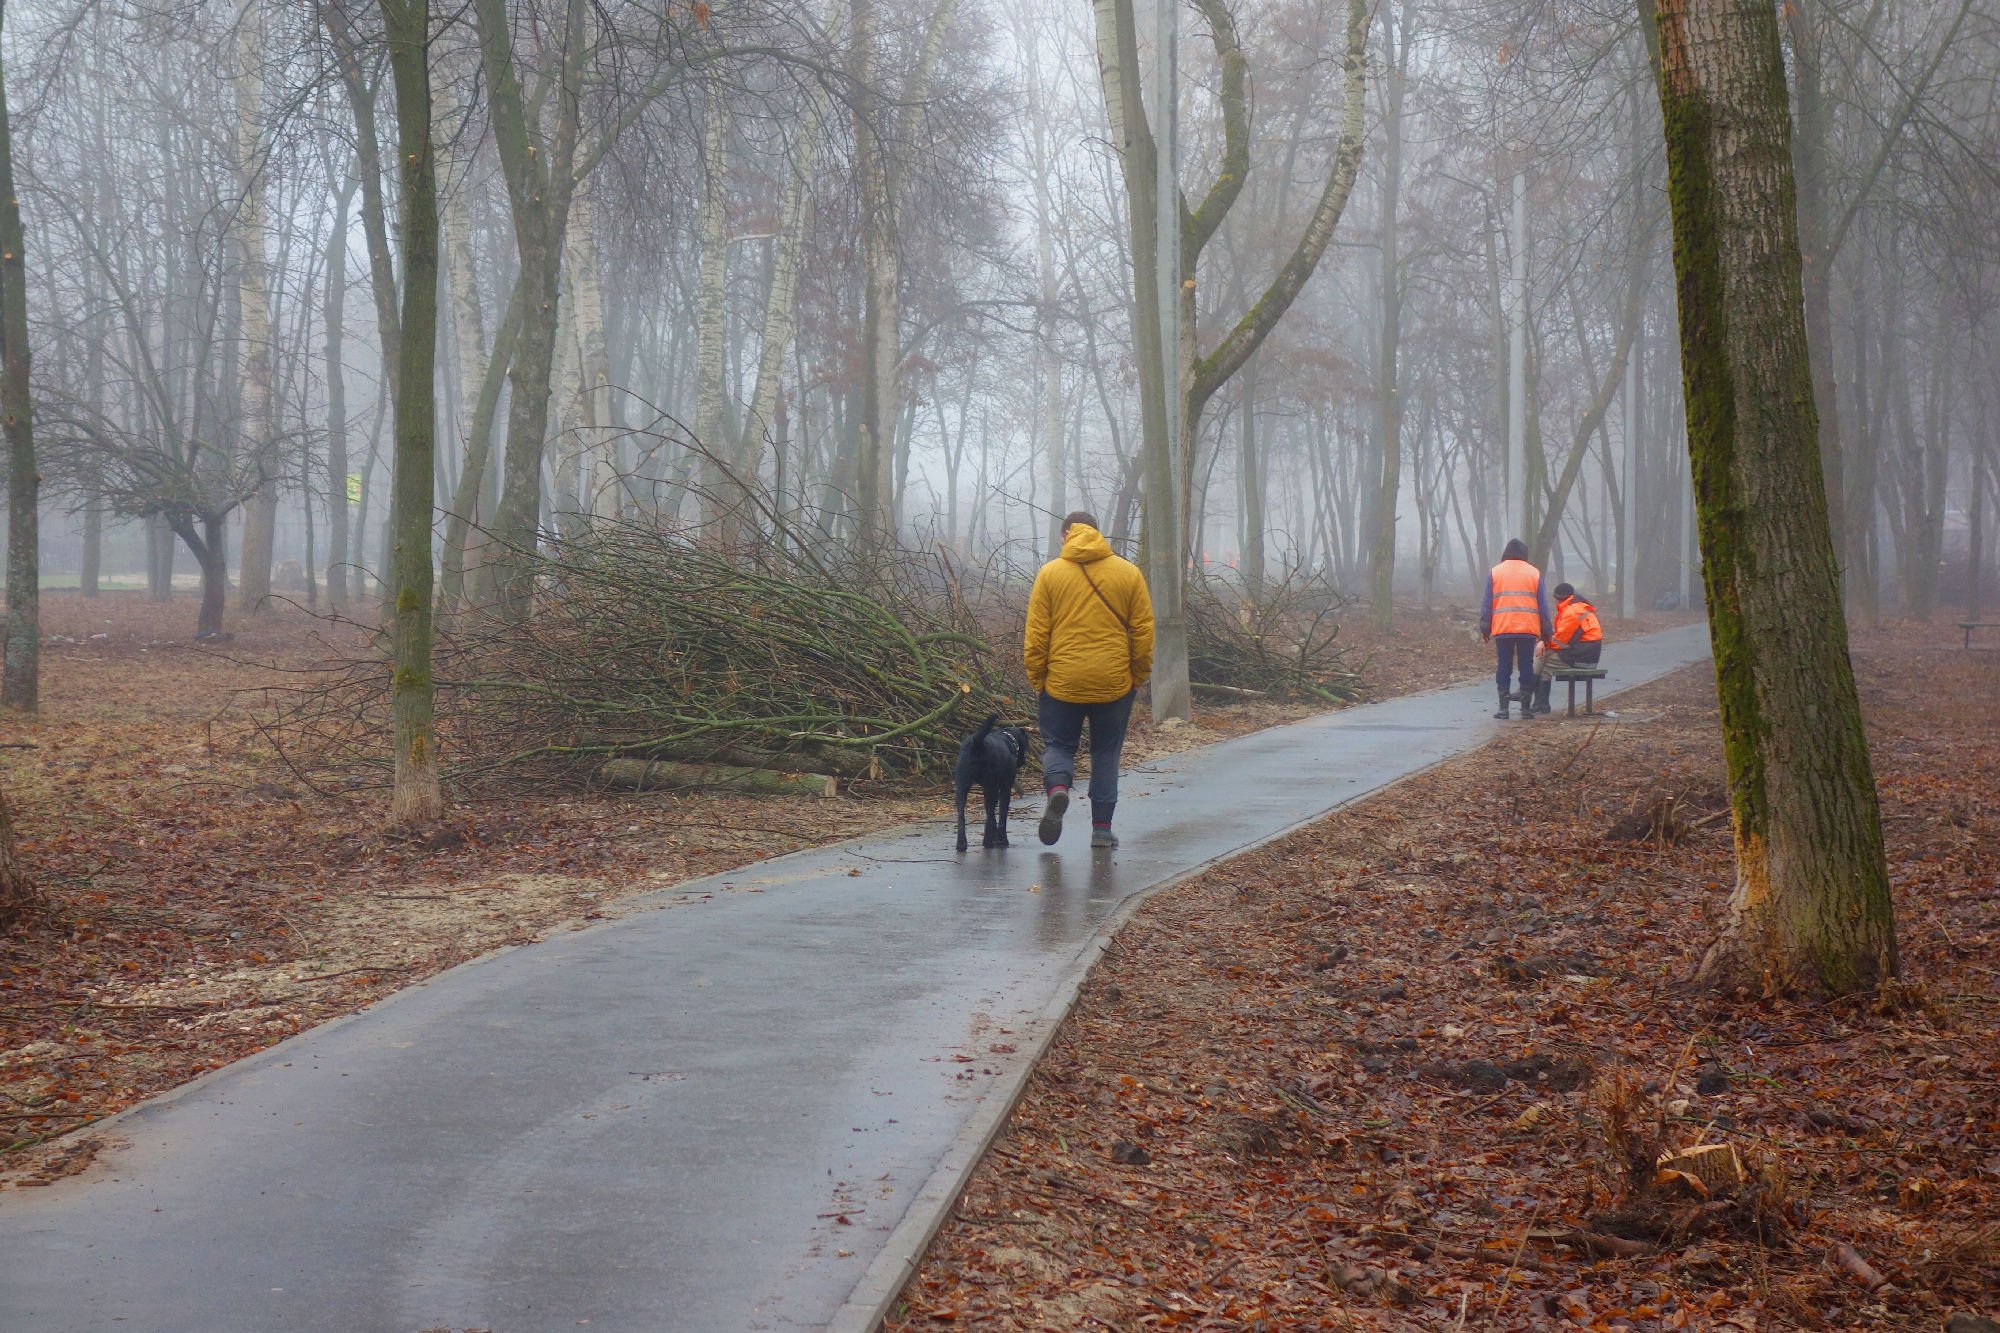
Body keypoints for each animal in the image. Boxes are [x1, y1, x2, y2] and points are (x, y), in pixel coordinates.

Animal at [952, 704, 1032, 852]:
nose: (1023, 761)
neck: (1009, 739)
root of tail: (977, 743)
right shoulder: (1004, 788)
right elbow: (1001, 814)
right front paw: (1001, 839)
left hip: (962, 787)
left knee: (961, 816)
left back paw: (961, 844)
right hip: (991, 788)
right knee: (989, 816)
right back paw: (988, 842)